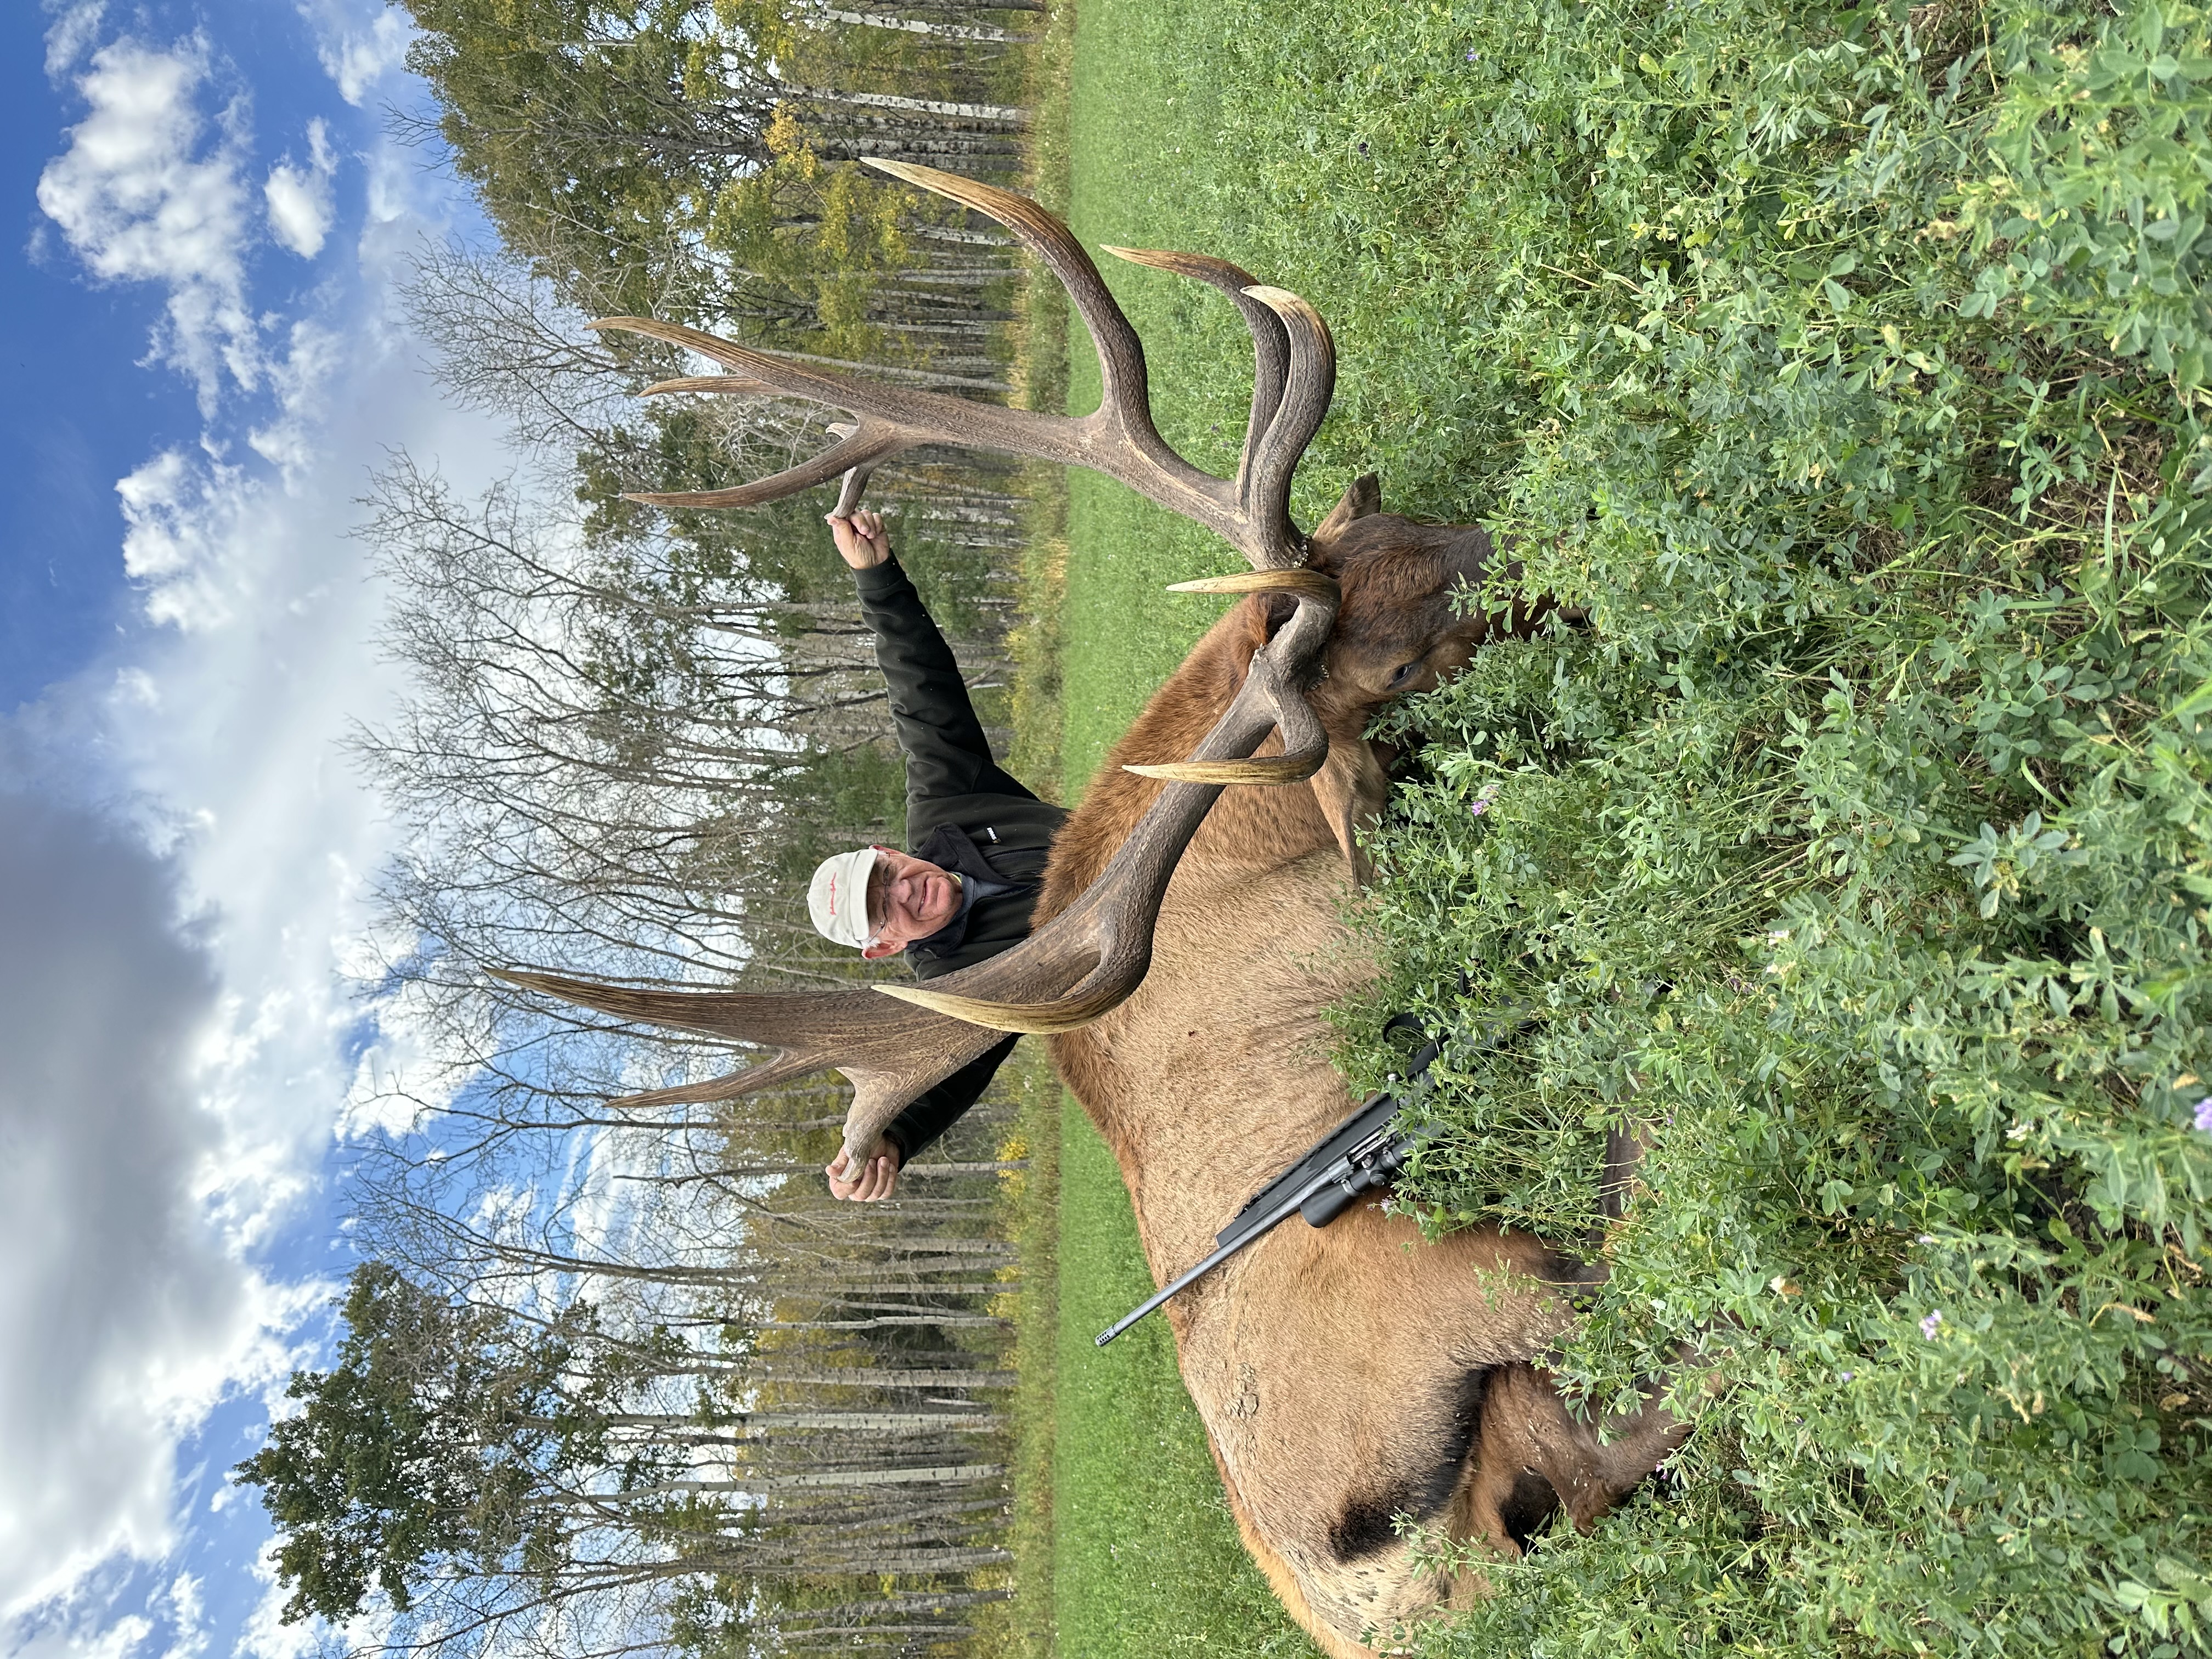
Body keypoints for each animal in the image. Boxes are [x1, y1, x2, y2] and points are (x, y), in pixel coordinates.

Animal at [502, 163, 1686, 1656]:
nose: (1569, 529)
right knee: (1649, 1317)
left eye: (1425, 524)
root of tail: (1361, 1575)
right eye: (1407, 662)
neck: (1262, 848)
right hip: (1470, 1285)